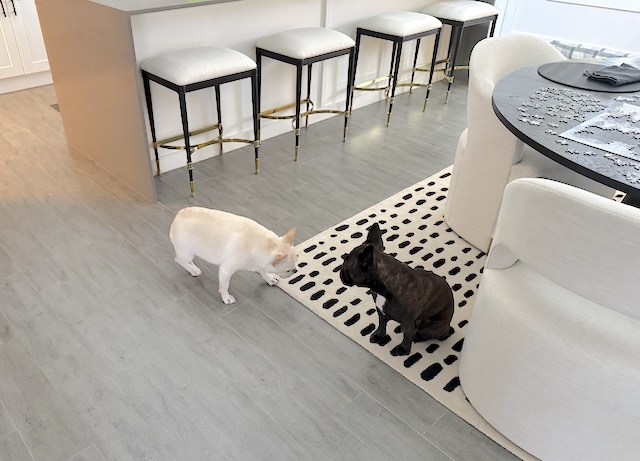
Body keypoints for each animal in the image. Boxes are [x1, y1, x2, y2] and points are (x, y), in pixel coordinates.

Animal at [169, 207, 297, 304]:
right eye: (288, 270)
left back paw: (193, 268)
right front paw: (226, 297)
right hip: (186, 252)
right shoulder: (226, 270)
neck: (267, 245)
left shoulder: (260, 264)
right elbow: (224, 286)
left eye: (297, 260)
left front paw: (269, 278)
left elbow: (263, 272)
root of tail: (179, 215)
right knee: (179, 260)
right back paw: (194, 270)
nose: (295, 270)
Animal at [339, 223, 454, 356]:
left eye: (345, 265)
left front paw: (403, 349)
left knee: (428, 333)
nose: (340, 271)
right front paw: (379, 336)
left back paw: (419, 336)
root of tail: (447, 326)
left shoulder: (408, 322)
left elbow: (407, 337)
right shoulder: (381, 312)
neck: (383, 289)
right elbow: (382, 325)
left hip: (431, 327)